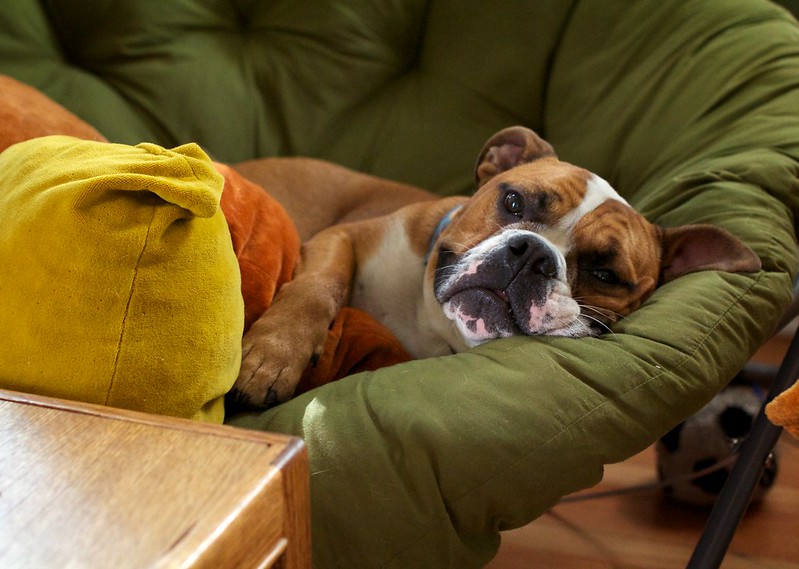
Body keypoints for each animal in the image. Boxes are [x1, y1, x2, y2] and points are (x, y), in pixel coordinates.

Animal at [231, 126, 764, 406]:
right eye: (512, 201)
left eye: (605, 274)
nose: (532, 255)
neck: (433, 326)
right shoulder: (341, 238)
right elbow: (318, 286)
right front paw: (274, 355)